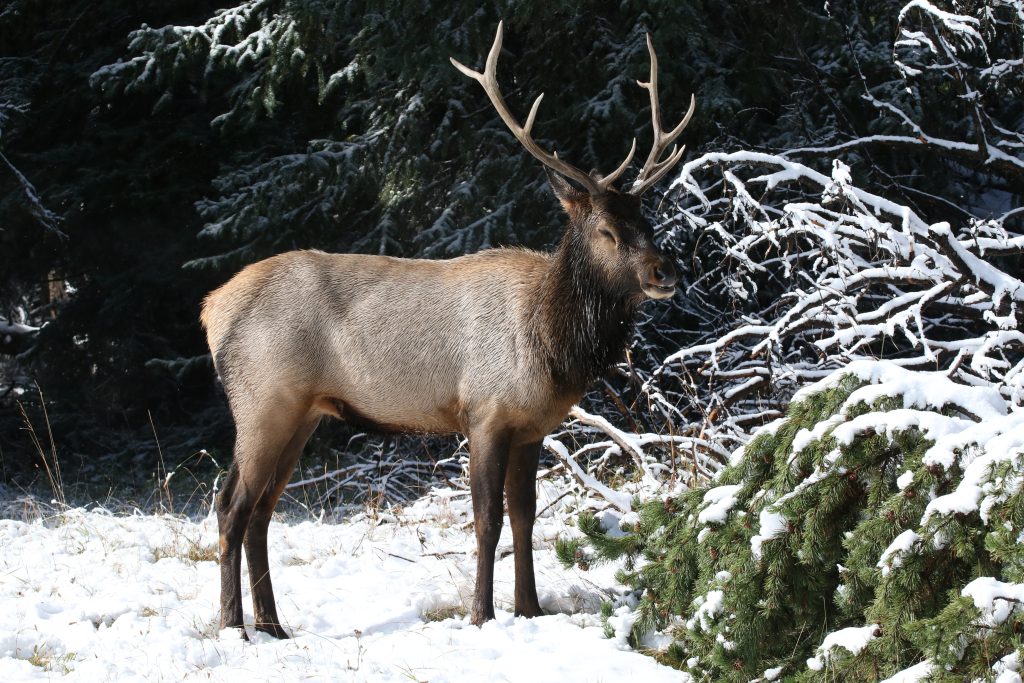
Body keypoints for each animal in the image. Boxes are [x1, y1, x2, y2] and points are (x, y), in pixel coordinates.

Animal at [200, 22, 696, 643]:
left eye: (647, 221)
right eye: (606, 229)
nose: (665, 271)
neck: (549, 344)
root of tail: (212, 309)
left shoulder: (532, 427)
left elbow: (525, 515)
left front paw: (530, 609)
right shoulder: (484, 411)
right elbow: (486, 518)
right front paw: (483, 614)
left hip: (301, 413)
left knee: (261, 511)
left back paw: (273, 625)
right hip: (264, 400)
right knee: (231, 507)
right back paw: (234, 628)